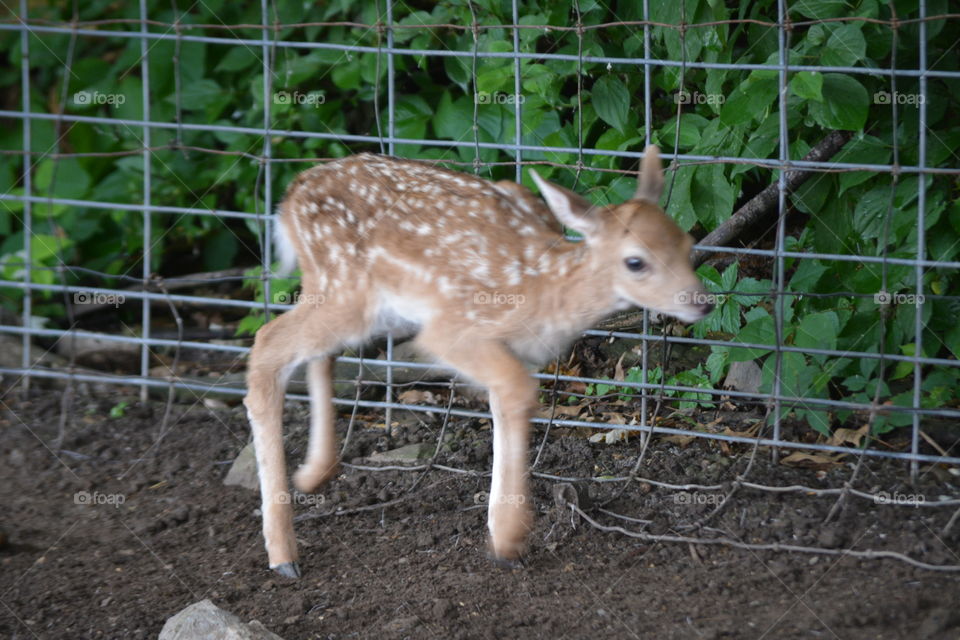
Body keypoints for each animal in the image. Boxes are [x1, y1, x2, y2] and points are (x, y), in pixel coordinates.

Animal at [243, 146, 713, 578]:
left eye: (687, 244)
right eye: (635, 261)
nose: (702, 302)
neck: (540, 291)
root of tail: (291, 195)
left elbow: (506, 405)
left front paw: (502, 532)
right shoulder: (453, 327)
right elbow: (518, 392)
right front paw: (508, 537)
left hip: (343, 295)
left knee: (317, 352)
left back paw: (314, 473)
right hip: (347, 291)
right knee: (267, 341)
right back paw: (282, 554)